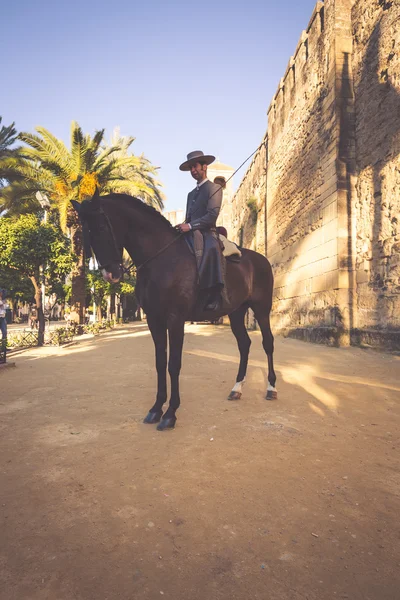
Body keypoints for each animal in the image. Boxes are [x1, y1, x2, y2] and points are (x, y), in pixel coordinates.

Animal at [72, 190, 276, 428]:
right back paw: (237, 389)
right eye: (85, 233)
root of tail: (260, 259)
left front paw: (170, 413)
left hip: (262, 309)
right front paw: (156, 408)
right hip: (236, 312)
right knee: (244, 344)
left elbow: (174, 364)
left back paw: (271, 387)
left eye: (102, 227)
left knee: (268, 343)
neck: (161, 259)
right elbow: (160, 363)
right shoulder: (155, 320)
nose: (110, 274)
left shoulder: (175, 319)